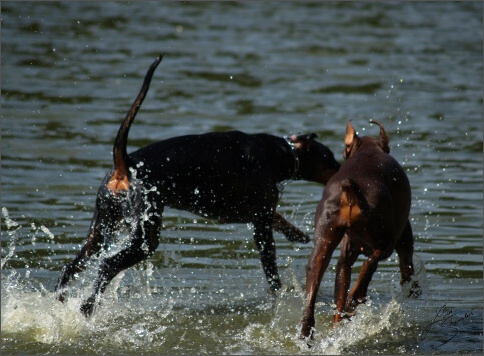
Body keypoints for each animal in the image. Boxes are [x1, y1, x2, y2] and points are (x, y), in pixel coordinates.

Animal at [54, 54, 340, 316]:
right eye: (330, 157)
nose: (342, 168)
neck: (280, 152)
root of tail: (124, 163)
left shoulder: (247, 213)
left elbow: (278, 219)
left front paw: (297, 234)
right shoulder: (260, 222)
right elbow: (271, 268)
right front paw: (280, 295)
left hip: (101, 229)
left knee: (72, 267)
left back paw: (59, 300)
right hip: (144, 236)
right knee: (106, 266)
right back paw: (87, 307)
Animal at [298, 121, 420, 340]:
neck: (369, 149)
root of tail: (350, 190)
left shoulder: (345, 257)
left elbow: (339, 293)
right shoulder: (403, 235)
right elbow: (405, 263)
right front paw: (411, 287)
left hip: (323, 243)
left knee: (314, 290)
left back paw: (308, 331)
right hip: (385, 238)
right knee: (369, 267)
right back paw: (356, 299)